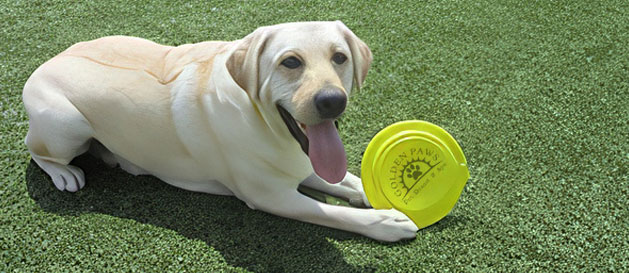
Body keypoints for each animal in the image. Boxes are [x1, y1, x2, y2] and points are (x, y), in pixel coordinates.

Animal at [23, 21, 418, 240]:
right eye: (290, 62)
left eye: (340, 58)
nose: (332, 101)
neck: (264, 122)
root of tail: (45, 62)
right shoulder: (271, 196)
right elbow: (336, 212)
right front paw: (387, 221)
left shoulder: (301, 164)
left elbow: (349, 181)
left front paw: (374, 194)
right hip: (66, 124)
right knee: (34, 149)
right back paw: (64, 174)